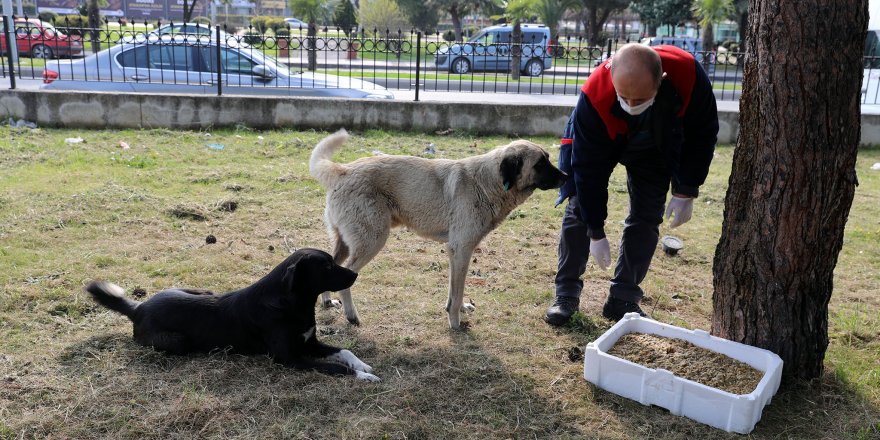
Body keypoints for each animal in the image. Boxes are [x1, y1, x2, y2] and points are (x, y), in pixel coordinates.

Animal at [84, 249, 380, 380]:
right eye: (327, 266)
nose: (355, 274)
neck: (290, 302)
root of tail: (138, 307)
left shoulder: (310, 343)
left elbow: (343, 351)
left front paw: (362, 365)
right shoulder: (288, 358)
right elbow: (335, 367)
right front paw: (362, 376)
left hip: (202, 290)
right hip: (177, 342)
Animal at [312, 131, 568, 330]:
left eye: (547, 159)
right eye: (540, 163)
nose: (567, 176)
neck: (487, 182)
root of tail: (343, 170)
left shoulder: (456, 252)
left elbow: (455, 289)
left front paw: (457, 308)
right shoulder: (462, 249)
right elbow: (458, 290)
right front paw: (455, 323)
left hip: (347, 243)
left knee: (331, 263)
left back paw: (327, 302)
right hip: (372, 241)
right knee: (347, 276)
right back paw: (352, 316)